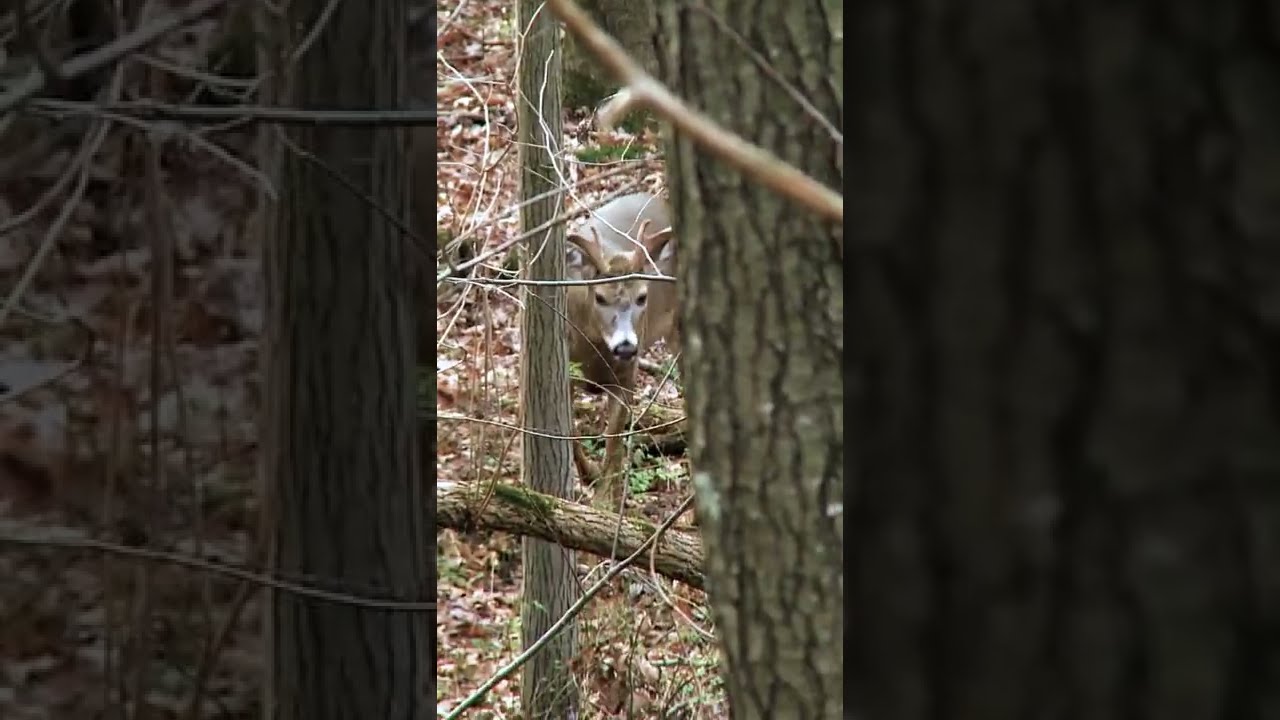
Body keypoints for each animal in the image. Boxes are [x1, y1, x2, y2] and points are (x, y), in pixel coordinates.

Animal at [563, 190, 680, 504]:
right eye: (600, 297)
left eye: (642, 296)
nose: (626, 346)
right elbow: (569, 430)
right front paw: (589, 475)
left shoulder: (628, 375)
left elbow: (614, 437)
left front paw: (605, 499)